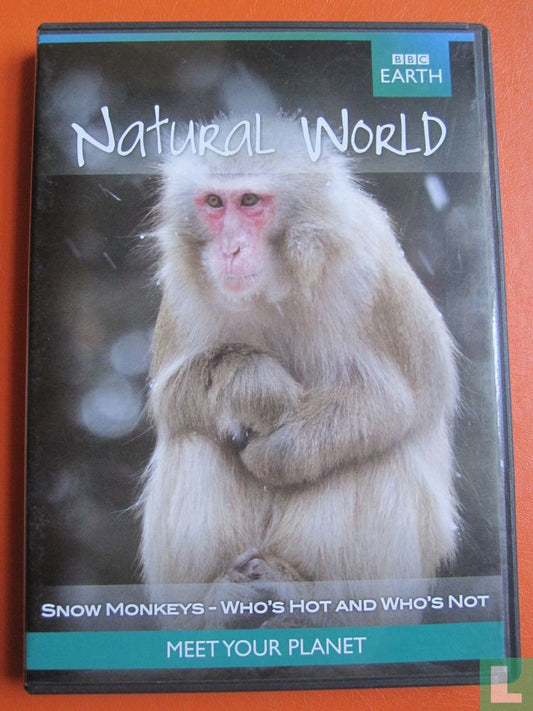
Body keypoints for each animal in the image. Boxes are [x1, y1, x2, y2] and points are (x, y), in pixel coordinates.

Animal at [139, 116, 459, 627]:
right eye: (214, 203)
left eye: (250, 201)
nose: (230, 249)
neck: (280, 281)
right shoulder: (184, 291)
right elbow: (169, 397)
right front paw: (248, 384)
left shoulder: (369, 269)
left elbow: (407, 398)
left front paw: (278, 451)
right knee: (196, 439)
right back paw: (221, 604)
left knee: (373, 455)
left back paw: (314, 603)